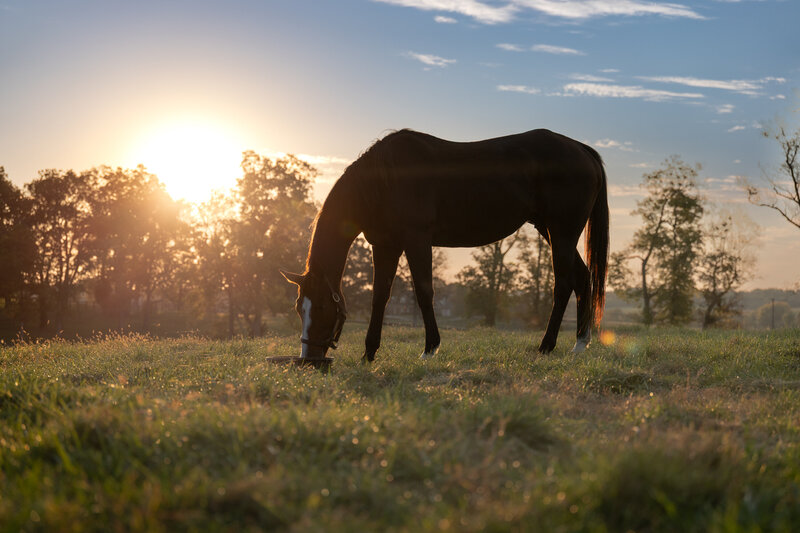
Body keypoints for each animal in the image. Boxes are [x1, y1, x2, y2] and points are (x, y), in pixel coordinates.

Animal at [281, 128, 608, 362]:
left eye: (322, 307)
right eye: (299, 308)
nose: (308, 360)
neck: (385, 179)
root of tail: (581, 149)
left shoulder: (416, 240)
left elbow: (424, 292)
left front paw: (430, 349)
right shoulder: (385, 245)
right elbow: (380, 297)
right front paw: (369, 354)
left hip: (562, 233)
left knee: (563, 284)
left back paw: (546, 346)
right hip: (551, 231)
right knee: (583, 279)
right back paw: (580, 344)